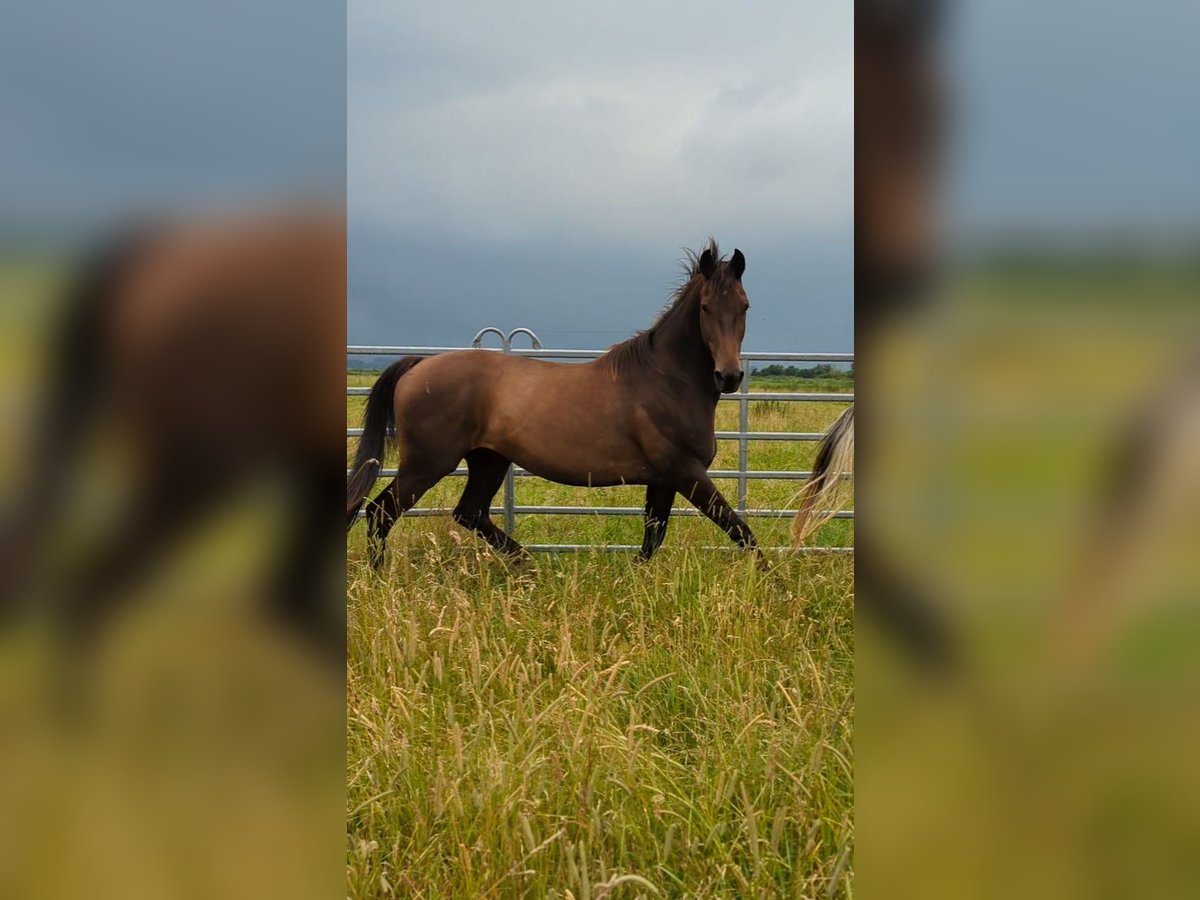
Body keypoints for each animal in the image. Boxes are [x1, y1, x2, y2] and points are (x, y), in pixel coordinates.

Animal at [350, 240, 758, 564]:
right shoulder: (686, 472)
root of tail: (419, 365)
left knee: (469, 512)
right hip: (427, 464)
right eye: (705, 307)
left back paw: (530, 565)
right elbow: (741, 532)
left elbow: (651, 540)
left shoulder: (663, 479)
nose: (729, 376)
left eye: (745, 306)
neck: (666, 381)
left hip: (488, 459)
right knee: (379, 512)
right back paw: (381, 577)